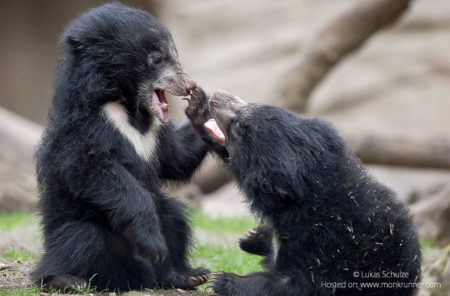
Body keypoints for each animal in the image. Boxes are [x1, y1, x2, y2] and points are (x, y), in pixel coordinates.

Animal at [31, 2, 214, 292]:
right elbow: (96, 171)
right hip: (75, 230)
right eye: (156, 58)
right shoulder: (84, 129)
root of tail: (127, 278)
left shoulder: (156, 133)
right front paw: (153, 244)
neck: (128, 106)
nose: (189, 85)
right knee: (80, 236)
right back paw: (65, 279)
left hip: (162, 222)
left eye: (174, 55)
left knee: (174, 219)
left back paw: (184, 275)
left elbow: (176, 158)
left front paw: (201, 108)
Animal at [188, 90, 420, 296]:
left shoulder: (326, 245)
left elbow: (303, 285)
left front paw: (224, 281)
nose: (217, 95)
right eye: (255, 104)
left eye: (240, 127)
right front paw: (197, 107)